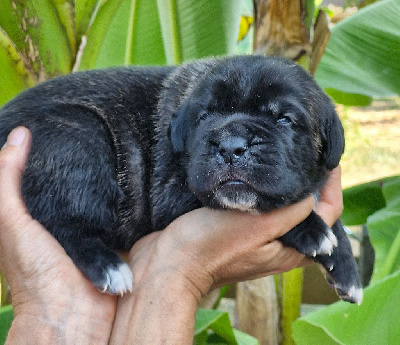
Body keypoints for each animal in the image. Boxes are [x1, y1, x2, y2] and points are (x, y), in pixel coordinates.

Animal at [0, 55, 362, 304]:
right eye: (204, 117)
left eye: (284, 119)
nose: (231, 146)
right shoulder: (175, 197)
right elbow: (269, 209)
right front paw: (311, 229)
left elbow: (336, 224)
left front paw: (346, 269)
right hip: (78, 131)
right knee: (63, 220)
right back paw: (106, 266)